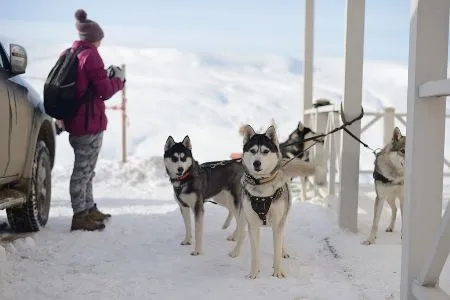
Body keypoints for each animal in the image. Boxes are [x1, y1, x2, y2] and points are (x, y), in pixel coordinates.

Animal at [230, 123, 326, 278]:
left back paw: (283, 252)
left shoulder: (277, 222)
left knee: (280, 238)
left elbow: (276, 248)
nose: (257, 163)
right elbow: (255, 253)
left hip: (283, 217)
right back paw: (235, 250)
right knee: (241, 233)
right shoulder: (253, 225)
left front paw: (278, 272)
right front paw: (254, 274)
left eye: (265, 151)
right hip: (244, 216)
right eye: (252, 151)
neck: (262, 188)